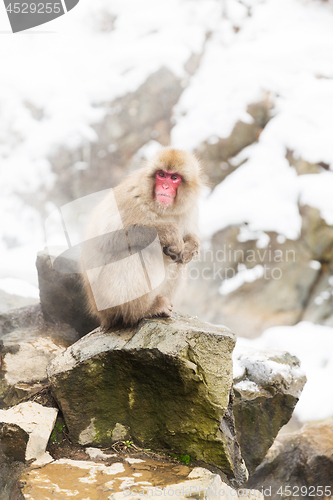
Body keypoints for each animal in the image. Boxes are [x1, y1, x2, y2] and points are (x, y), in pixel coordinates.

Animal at [82, 147, 202, 328]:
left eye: (174, 177)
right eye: (161, 175)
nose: (165, 186)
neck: (161, 208)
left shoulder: (189, 210)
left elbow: (188, 239)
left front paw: (189, 249)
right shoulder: (131, 198)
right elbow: (106, 239)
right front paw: (169, 232)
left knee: (177, 263)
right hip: (106, 299)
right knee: (140, 249)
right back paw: (142, 310)